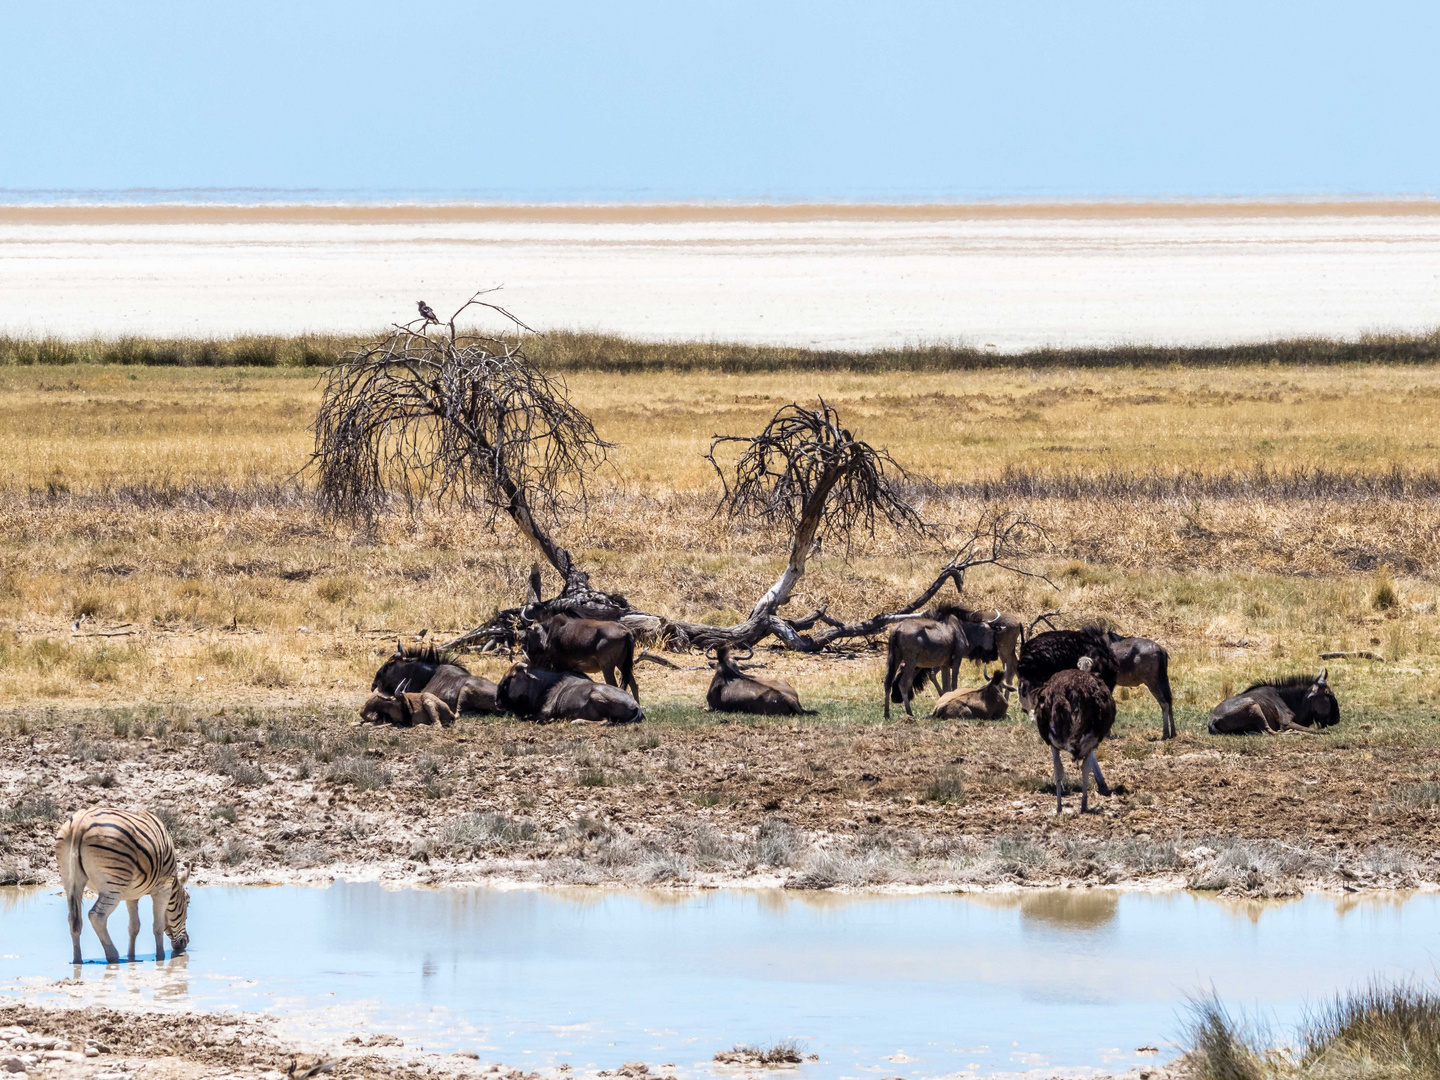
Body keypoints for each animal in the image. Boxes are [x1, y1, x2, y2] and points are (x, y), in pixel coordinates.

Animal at [54, 806, 190, 967]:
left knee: (73, 920)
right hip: (113, 887)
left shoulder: (132, 895)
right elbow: (157, 926)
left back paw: (77, 960)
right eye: (188, 902)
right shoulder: (163, 888)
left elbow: (134, 927)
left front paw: (132, 956)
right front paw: (160, 957)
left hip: (70, 882)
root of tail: (79, 824)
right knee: (96, 916)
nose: (185, 942)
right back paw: (113, 955)